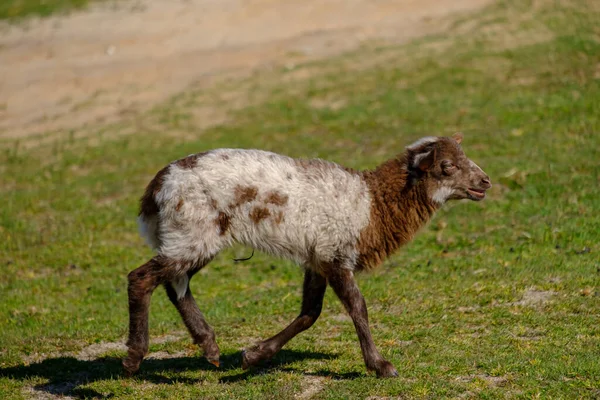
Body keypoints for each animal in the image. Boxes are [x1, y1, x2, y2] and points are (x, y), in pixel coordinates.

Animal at [123, 134, 492, 378]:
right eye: (446, 166)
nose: (485, 181)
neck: (373, 205)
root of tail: (155, 190)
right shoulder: (335, 253)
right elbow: (358, 308)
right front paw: (381, 366)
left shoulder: (318, 257)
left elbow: (309, 313)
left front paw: (254, 355)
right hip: (193, 229)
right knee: (141, 278)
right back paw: (135, 357)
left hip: (196, 236)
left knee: (175, 285)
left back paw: (209, 348)